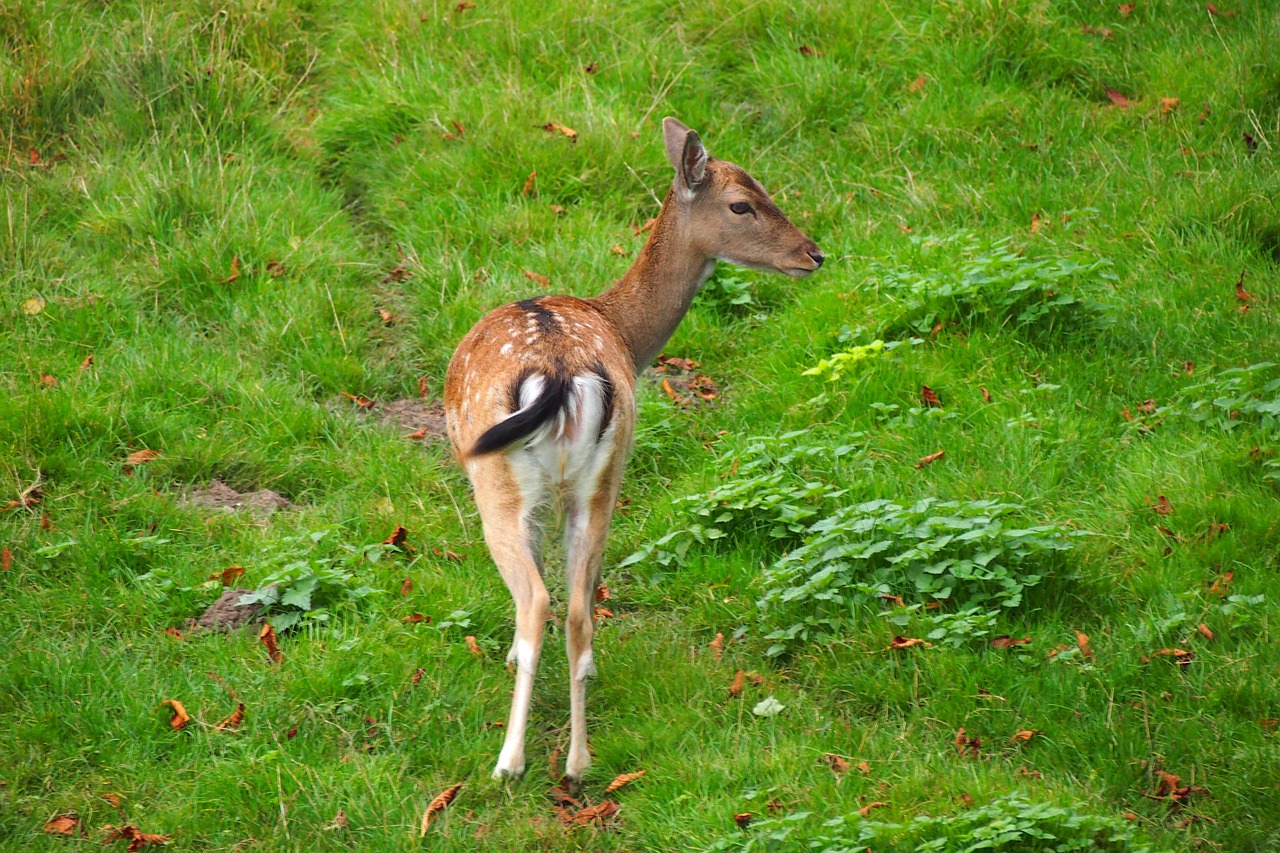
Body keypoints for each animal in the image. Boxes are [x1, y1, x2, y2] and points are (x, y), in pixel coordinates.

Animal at [442, 116, 819, 778]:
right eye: (744, 202)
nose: (814, 253)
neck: (621, 327)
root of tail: (562, 373)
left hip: (500, 484)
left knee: (538, 599)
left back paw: (511, 760)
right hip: (603, 474)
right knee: (575, 603)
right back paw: (579, 759)